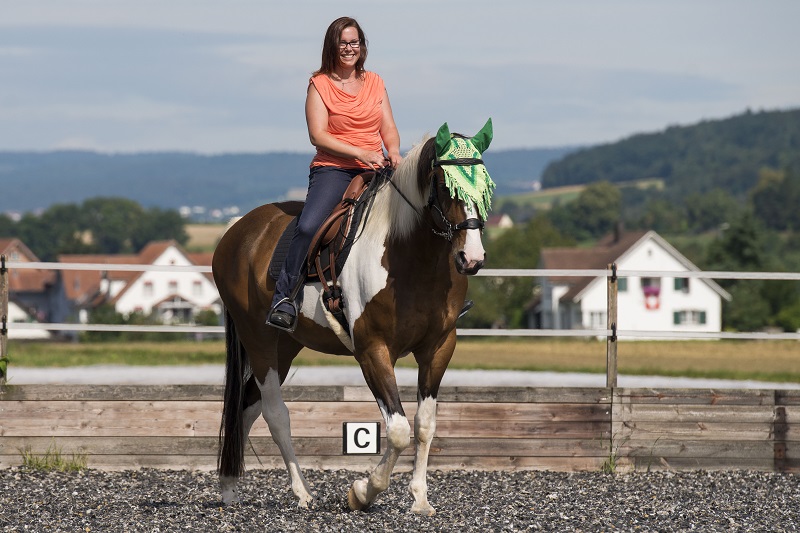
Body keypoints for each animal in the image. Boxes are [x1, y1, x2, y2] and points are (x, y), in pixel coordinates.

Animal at [212, 119, 494, 512]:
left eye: (486, 185)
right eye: (442, 184)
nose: (472, 258)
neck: (409, 256)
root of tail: (235, 232)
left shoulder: (439, 347)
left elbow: (424, 425)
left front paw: (420, 499)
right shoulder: (372, 349)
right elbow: (398, 429)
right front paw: (363, 491)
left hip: (285, 346)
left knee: (247, 406)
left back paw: (229, 487)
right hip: (259, 339)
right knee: (274, 413)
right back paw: (301, 493)